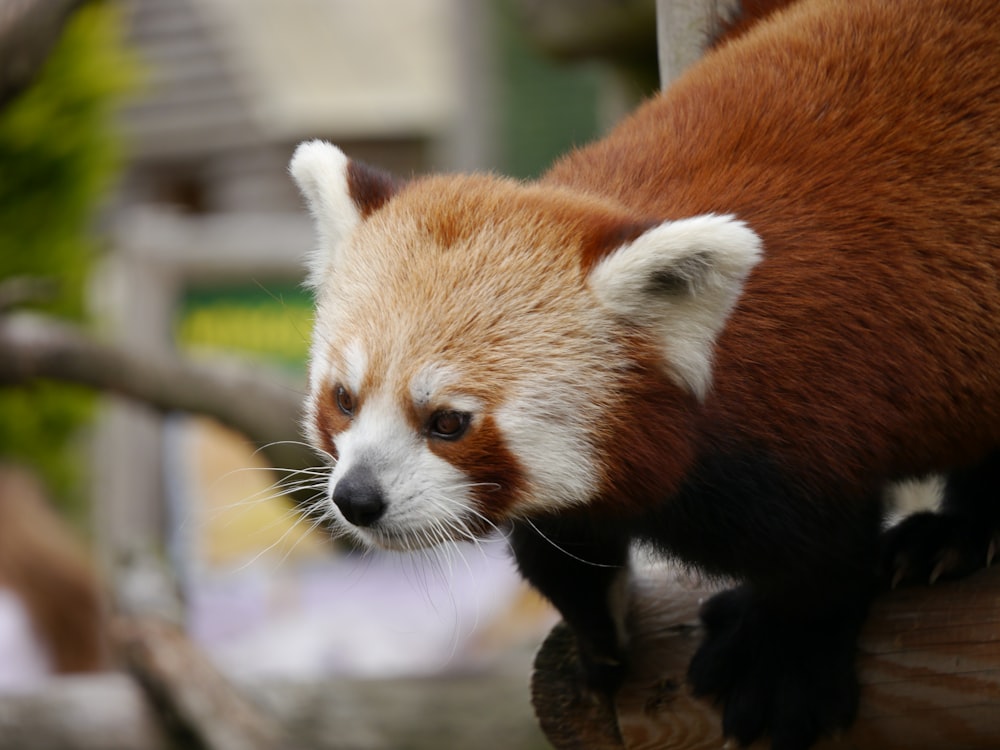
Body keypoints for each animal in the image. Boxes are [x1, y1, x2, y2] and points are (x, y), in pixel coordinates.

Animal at [290, 0, 1000, 748]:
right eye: (344, 398)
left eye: (449, 422)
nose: (357, 499)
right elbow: (562, 544)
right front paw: (596, 633)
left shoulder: (811, 420)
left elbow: (820, 558)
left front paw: (783, 660)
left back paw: (951, 535)